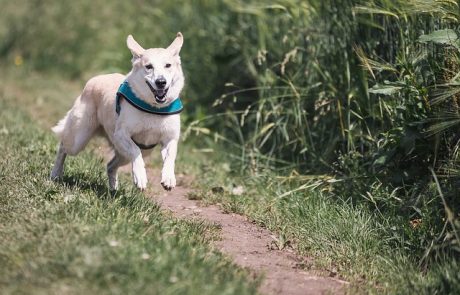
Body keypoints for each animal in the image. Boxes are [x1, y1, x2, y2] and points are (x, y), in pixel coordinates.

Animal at [50, 33, 185, 192]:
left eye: (168, 65)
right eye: (148, 67)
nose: (161, 82)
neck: (153, 108)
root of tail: (95, 79)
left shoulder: (170, 138)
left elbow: (170, 157)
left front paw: (168, 178)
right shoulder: (121, 135)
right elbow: (135, 151)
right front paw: (140, 177)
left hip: (128, 153)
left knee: (110, 165)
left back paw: (113, 189)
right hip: (78, 139)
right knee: (63, 147)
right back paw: (55, 174)